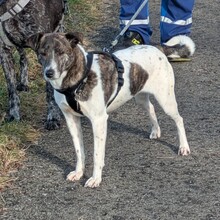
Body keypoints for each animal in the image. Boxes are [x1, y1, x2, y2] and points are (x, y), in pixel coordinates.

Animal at [0, 0, 67, 129]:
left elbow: (50, 91)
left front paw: (53, 117)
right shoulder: (4, 51)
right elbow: (11, 89)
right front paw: (14, 114)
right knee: (23, 58)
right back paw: (23, 82)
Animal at [26, 32, 194, 187]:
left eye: (61, 52)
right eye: (42, 53)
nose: (49, 73)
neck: (78, 79)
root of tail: (156, 47)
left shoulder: (98, 121)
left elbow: (97, 154)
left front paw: (95, 178)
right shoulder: (71, 119)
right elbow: (79, 151)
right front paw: (79, 172)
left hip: (166, 100)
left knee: (179, 119)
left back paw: (184, 147)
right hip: (139, 96)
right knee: (151, 108)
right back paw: (155, 130)